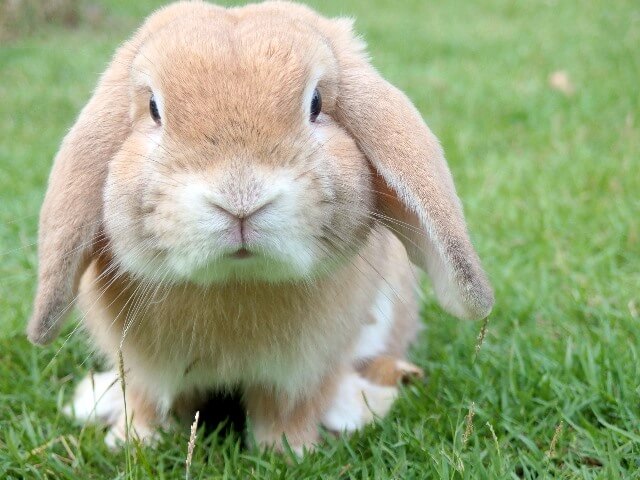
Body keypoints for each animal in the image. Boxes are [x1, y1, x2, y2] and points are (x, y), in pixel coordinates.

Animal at [27, 0, 492, 454]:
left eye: (316, 103)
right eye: (155, 109)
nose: (240, 199)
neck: (236, 281)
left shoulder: (301, 372)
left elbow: (287, 410)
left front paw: (288, 451)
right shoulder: (144, 369)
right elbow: (147, 402)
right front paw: (132, 442)